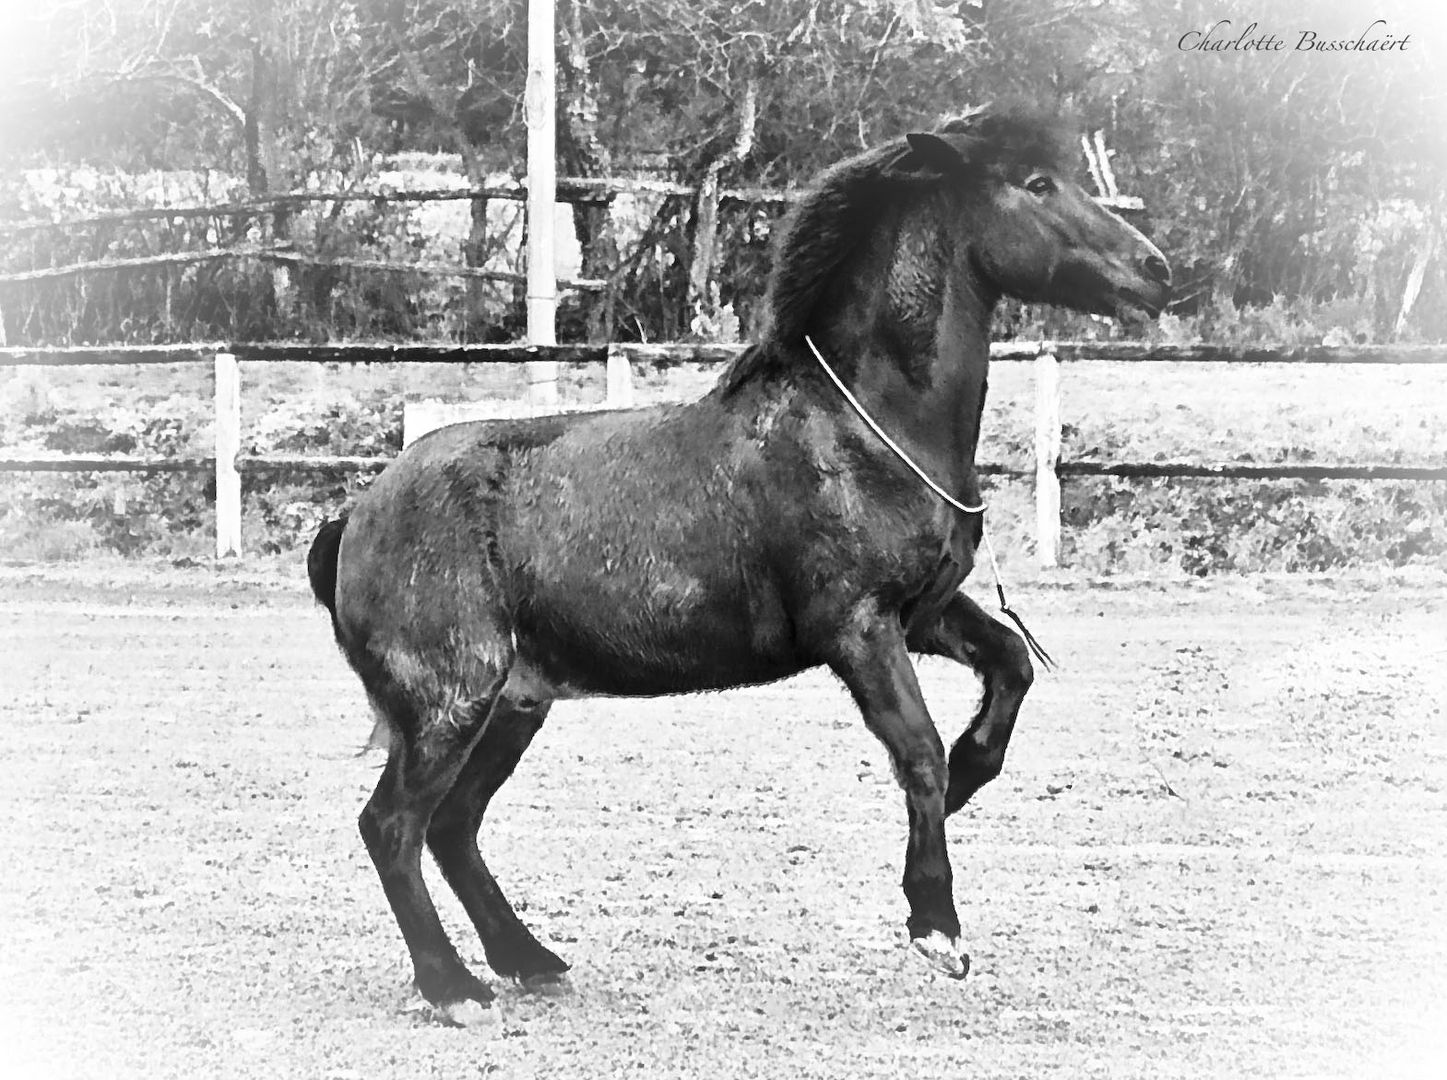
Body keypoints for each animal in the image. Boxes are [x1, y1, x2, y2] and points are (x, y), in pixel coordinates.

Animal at [311, 104, 1169, 1024]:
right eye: (1036, 183)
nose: (1154, 271)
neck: (858, 427)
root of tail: (356, 515)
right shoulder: (856, 630)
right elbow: (918, 751)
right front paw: (934, 925)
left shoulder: (925, 612)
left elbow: (1009, 667)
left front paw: (973, 776)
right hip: (449, 703)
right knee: (393, 827)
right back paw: (453, 986)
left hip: (513, 701)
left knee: (452, 827)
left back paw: (527, 959)